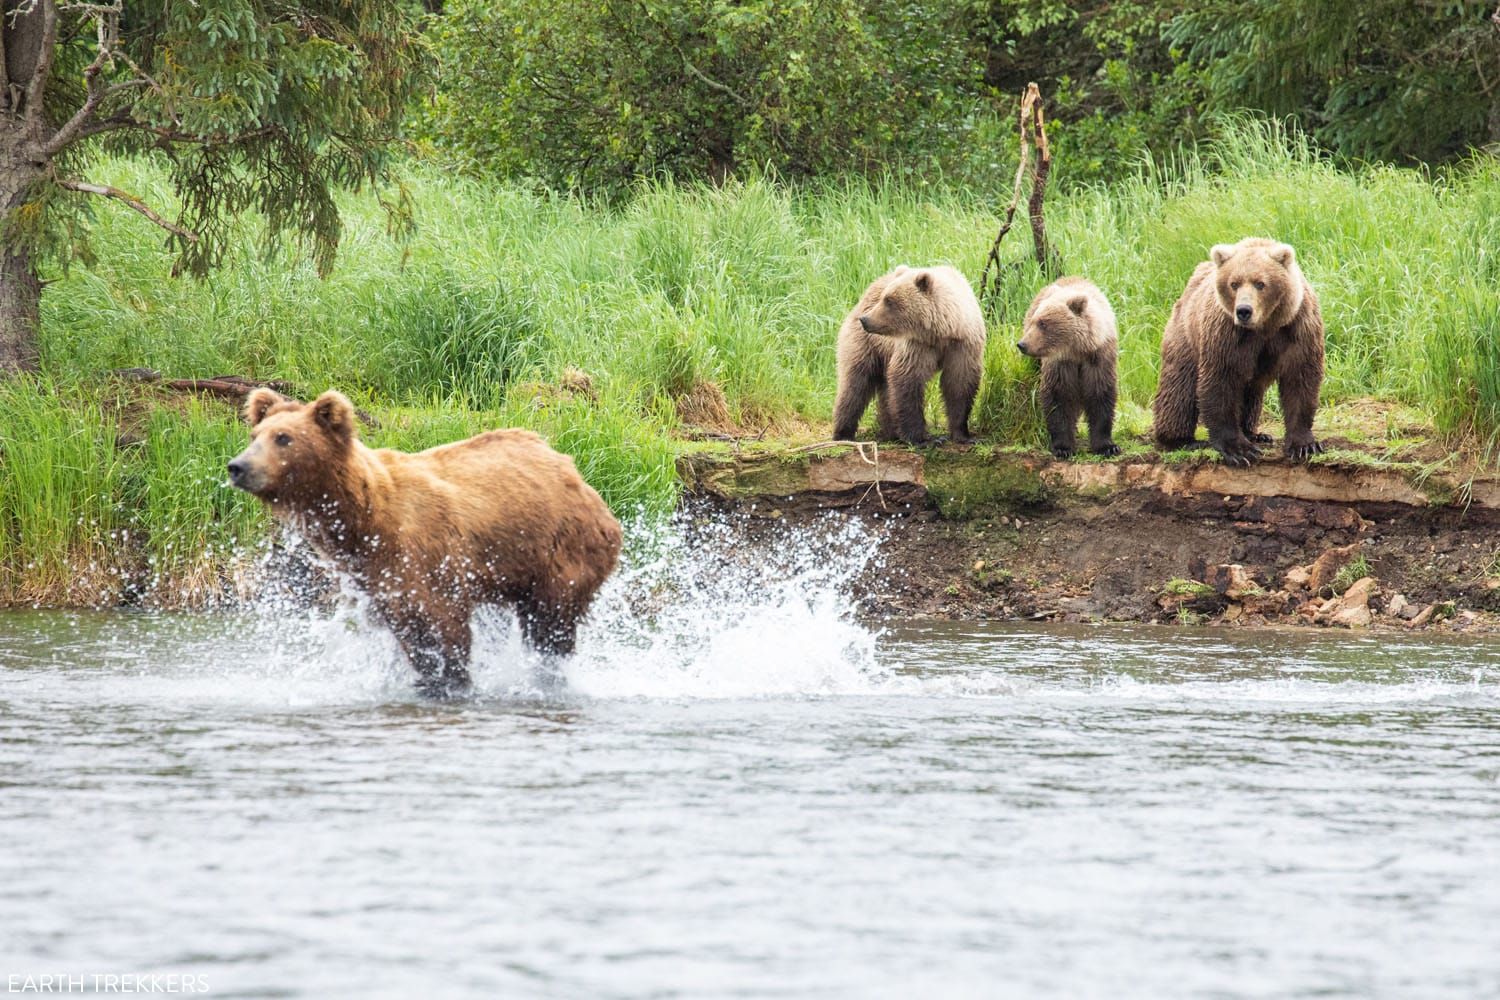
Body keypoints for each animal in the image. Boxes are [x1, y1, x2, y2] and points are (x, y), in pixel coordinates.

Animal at [226, 389, 621, 695]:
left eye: (284, 438)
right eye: (254, 435)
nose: (237, 466)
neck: (366, 520)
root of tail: (573, 470)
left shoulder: (426, 557)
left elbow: (444, 628)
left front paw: (452, 682)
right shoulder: (378, 580)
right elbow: (413, 637)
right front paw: (426, 679)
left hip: (562, 549)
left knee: (550, 625)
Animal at [828, 263, 990, 443]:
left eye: (888, 300)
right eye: (884, 297)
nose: (865, 319)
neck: (942, 332)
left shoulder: (963, 346)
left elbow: (960, 384)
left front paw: (963, 434)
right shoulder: (916, 347)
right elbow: (908, 381)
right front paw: (924, 439)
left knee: (883, 390)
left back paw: (891, 432)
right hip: (865, 345)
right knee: (855, 384)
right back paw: (844, 433)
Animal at [1014, 275, 1122, 458]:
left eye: (1043, 323)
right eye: (1034, 321)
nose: (1022, 344)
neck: (1078, 351)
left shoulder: (1099, 359)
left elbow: (1101, 394)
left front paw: (1108, 446)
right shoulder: (1060, 364)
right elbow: (1059, 396)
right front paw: (1063, 447)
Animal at [1146, 238, 1326, 464]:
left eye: (1260, 283)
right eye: (1234, 283)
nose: (1243, 311)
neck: (1265, 326)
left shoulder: (1297, 328)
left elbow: (1300, 379)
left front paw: (1304, 445)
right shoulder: (1226, 334)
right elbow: (1221, 382)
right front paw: (1239, 450)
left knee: (1251, 392)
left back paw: (1255, 433)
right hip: (1186, 335)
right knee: (1179, 387)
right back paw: (1180, 439)